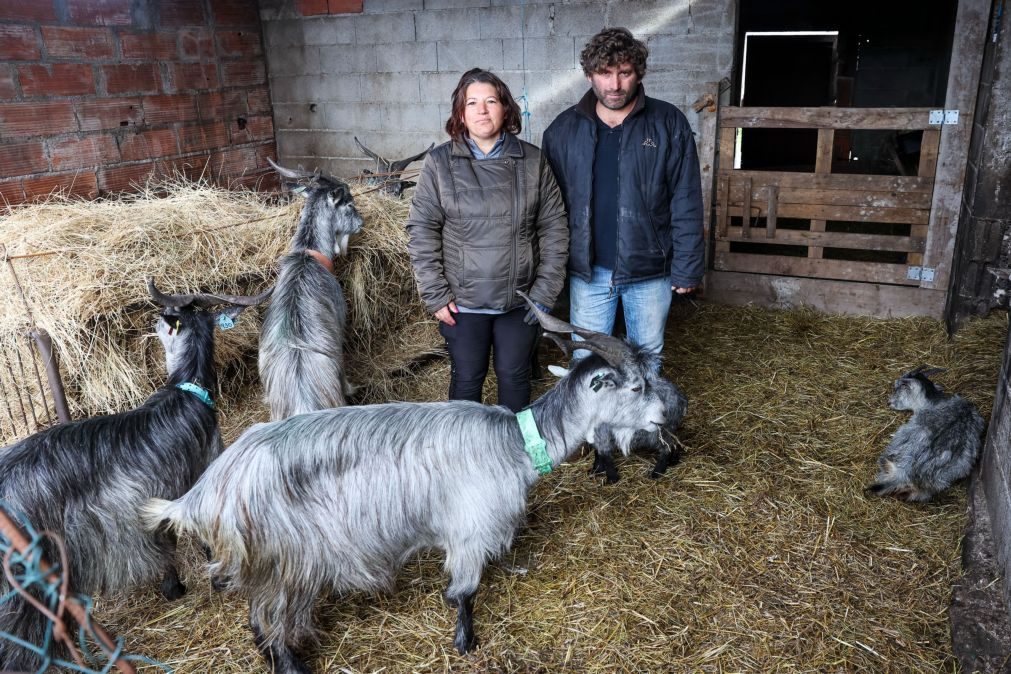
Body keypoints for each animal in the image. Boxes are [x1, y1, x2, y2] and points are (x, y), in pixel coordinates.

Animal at [142, 295, 675, 674]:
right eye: (637, 386)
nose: (667, 414)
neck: (516, 442)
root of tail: (207, 491)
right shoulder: (469, 531)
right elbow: (463, 594)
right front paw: (466, 644)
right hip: (284, 560)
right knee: (268, 623)